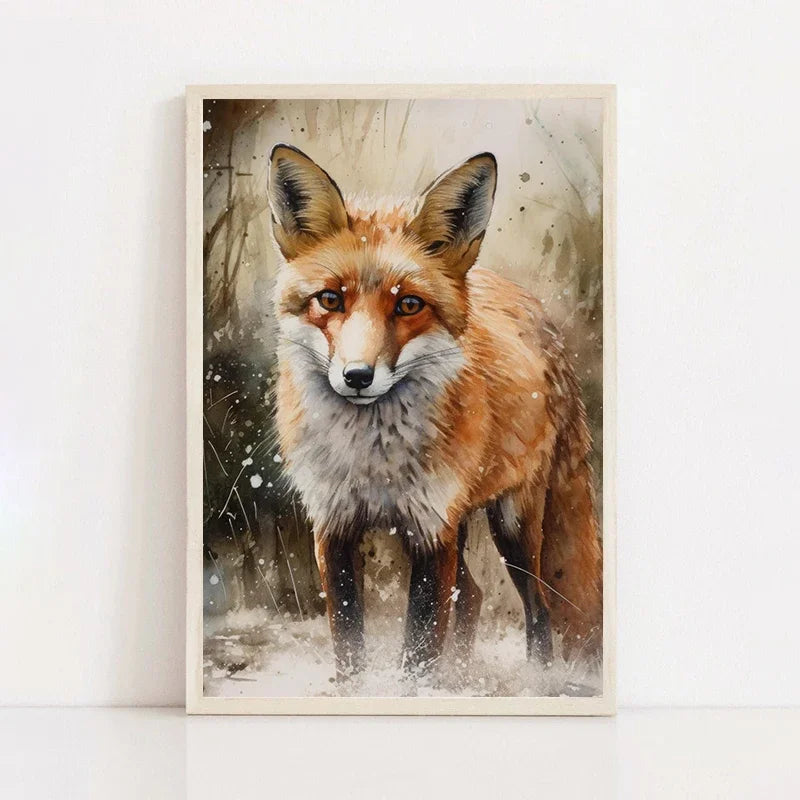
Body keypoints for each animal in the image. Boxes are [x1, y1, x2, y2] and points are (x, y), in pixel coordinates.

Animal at [267, 143, 602, 677]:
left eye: (408, 305)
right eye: (329, 299)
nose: (357, 376)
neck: (373, 463)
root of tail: (531, 305)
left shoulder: (430, 530)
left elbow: (418, 649)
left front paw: (418, 687)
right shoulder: (334, 525)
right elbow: (349, 644)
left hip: (513, 525)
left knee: (539, 608)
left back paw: (535, 677)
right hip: (462, 523)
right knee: (474, 597)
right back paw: (460, 676)